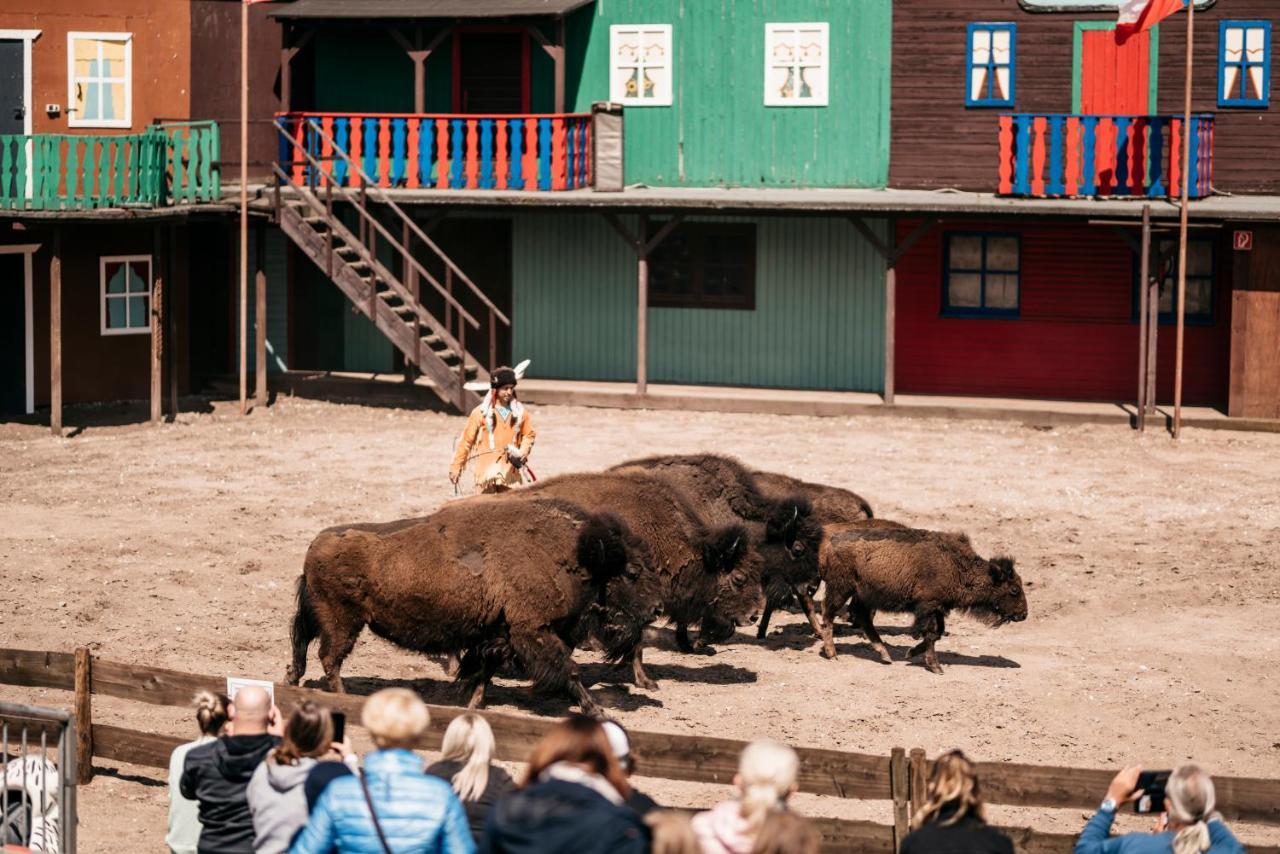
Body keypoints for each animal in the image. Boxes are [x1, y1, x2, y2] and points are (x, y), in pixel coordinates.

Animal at [285, 496, 655, 717]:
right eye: (631, 572)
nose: (653, 611)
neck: (574, 557)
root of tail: (316, 543)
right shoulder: (534, 633)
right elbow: (571, 671)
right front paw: (597, 712)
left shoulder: (497, 638)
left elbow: (482, 677)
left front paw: (475, 707)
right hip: (342, 622)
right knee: (329, 658)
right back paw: (343, 699)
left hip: (325, 617)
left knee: (302, 642)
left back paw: (292, 679)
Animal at [819, 527, 1029, 676]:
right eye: (1014, 589)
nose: (1024, 614)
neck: (958, 565)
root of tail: (833, 541)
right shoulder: (928, 607)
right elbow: (930, 633)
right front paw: (936, 667)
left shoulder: (938, 608)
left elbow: (937, 633)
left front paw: (911, 653)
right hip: (841, 590)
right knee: (828, 615)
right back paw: (833, 654)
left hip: (863, 596)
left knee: (863, 620)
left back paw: (885, 655)